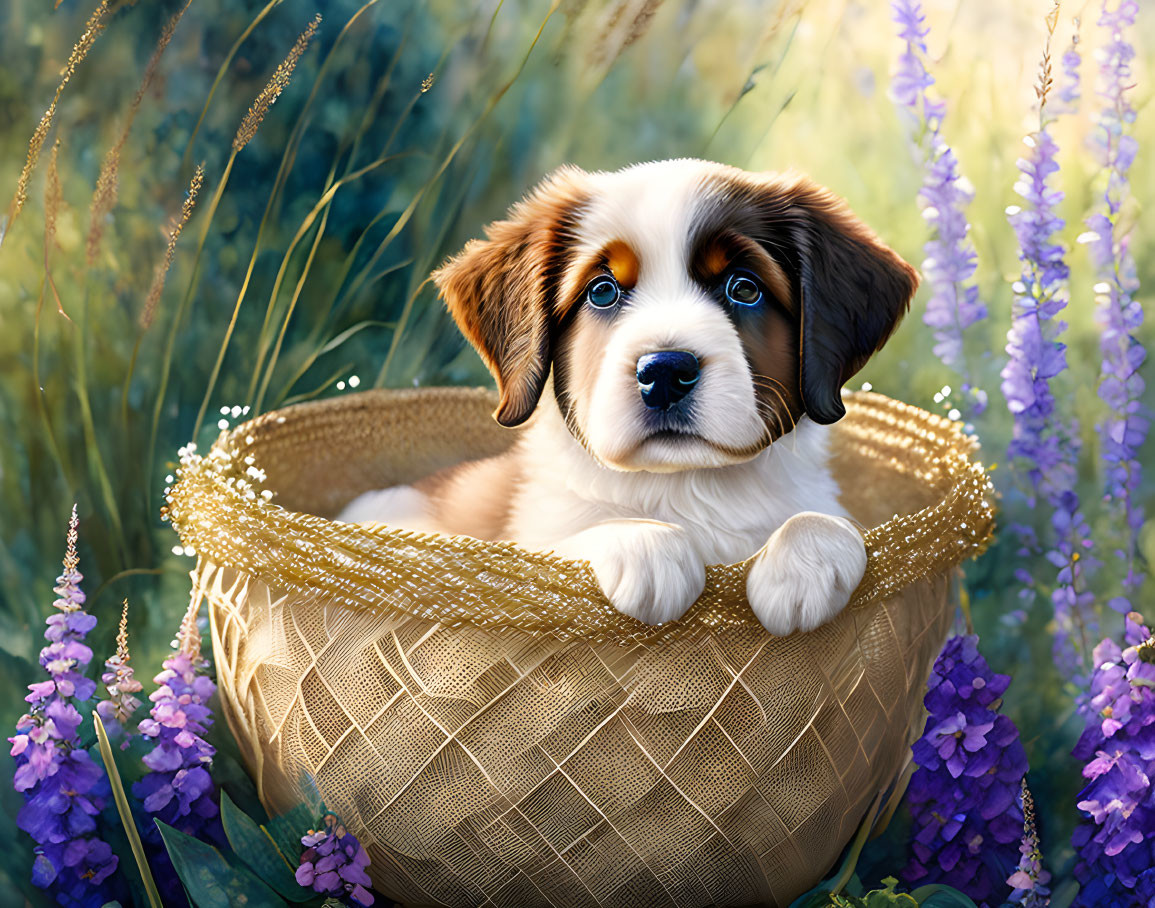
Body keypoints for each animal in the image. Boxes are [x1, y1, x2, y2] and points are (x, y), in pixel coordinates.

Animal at [337, 159, 914, 633]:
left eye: (744, 288)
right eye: (603, 291)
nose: (665, 373)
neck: (685, 489)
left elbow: (827, 520)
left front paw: (804, 563)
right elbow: (556, 548)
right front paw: (647, 546)